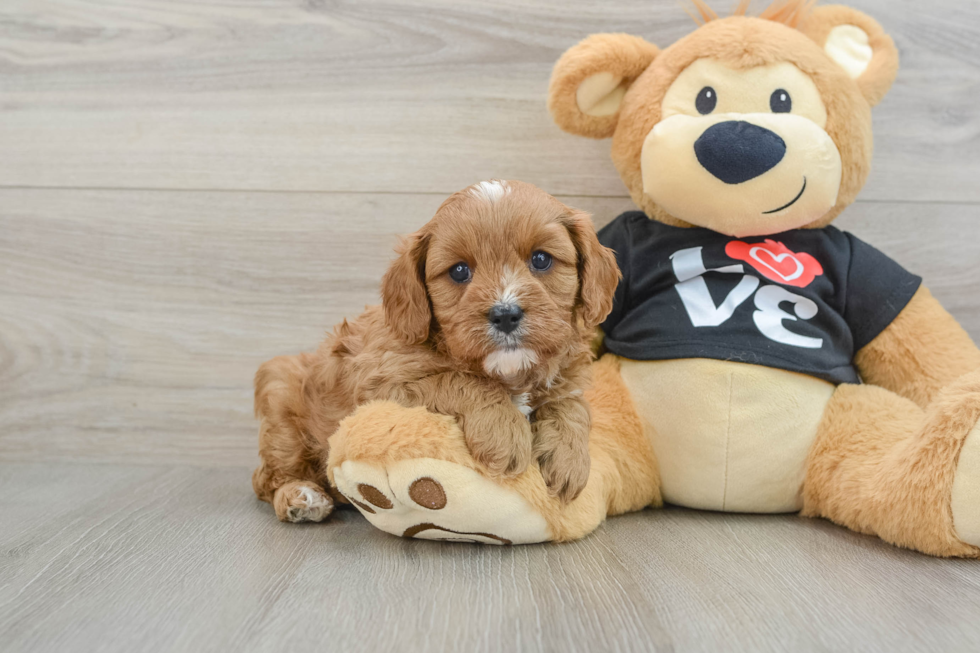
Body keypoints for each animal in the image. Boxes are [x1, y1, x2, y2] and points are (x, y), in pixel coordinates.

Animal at [253, 180, 620, 524]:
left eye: (541, 259)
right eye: (459, 271)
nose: (505, 314)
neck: (510, 371)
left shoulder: (567, 376)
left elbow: (572, 405)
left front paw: (569, 458)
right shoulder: (383, 386)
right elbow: (459, 380)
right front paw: (504, 432)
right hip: (281, 395)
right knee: (267, 477)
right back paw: (301, 497)